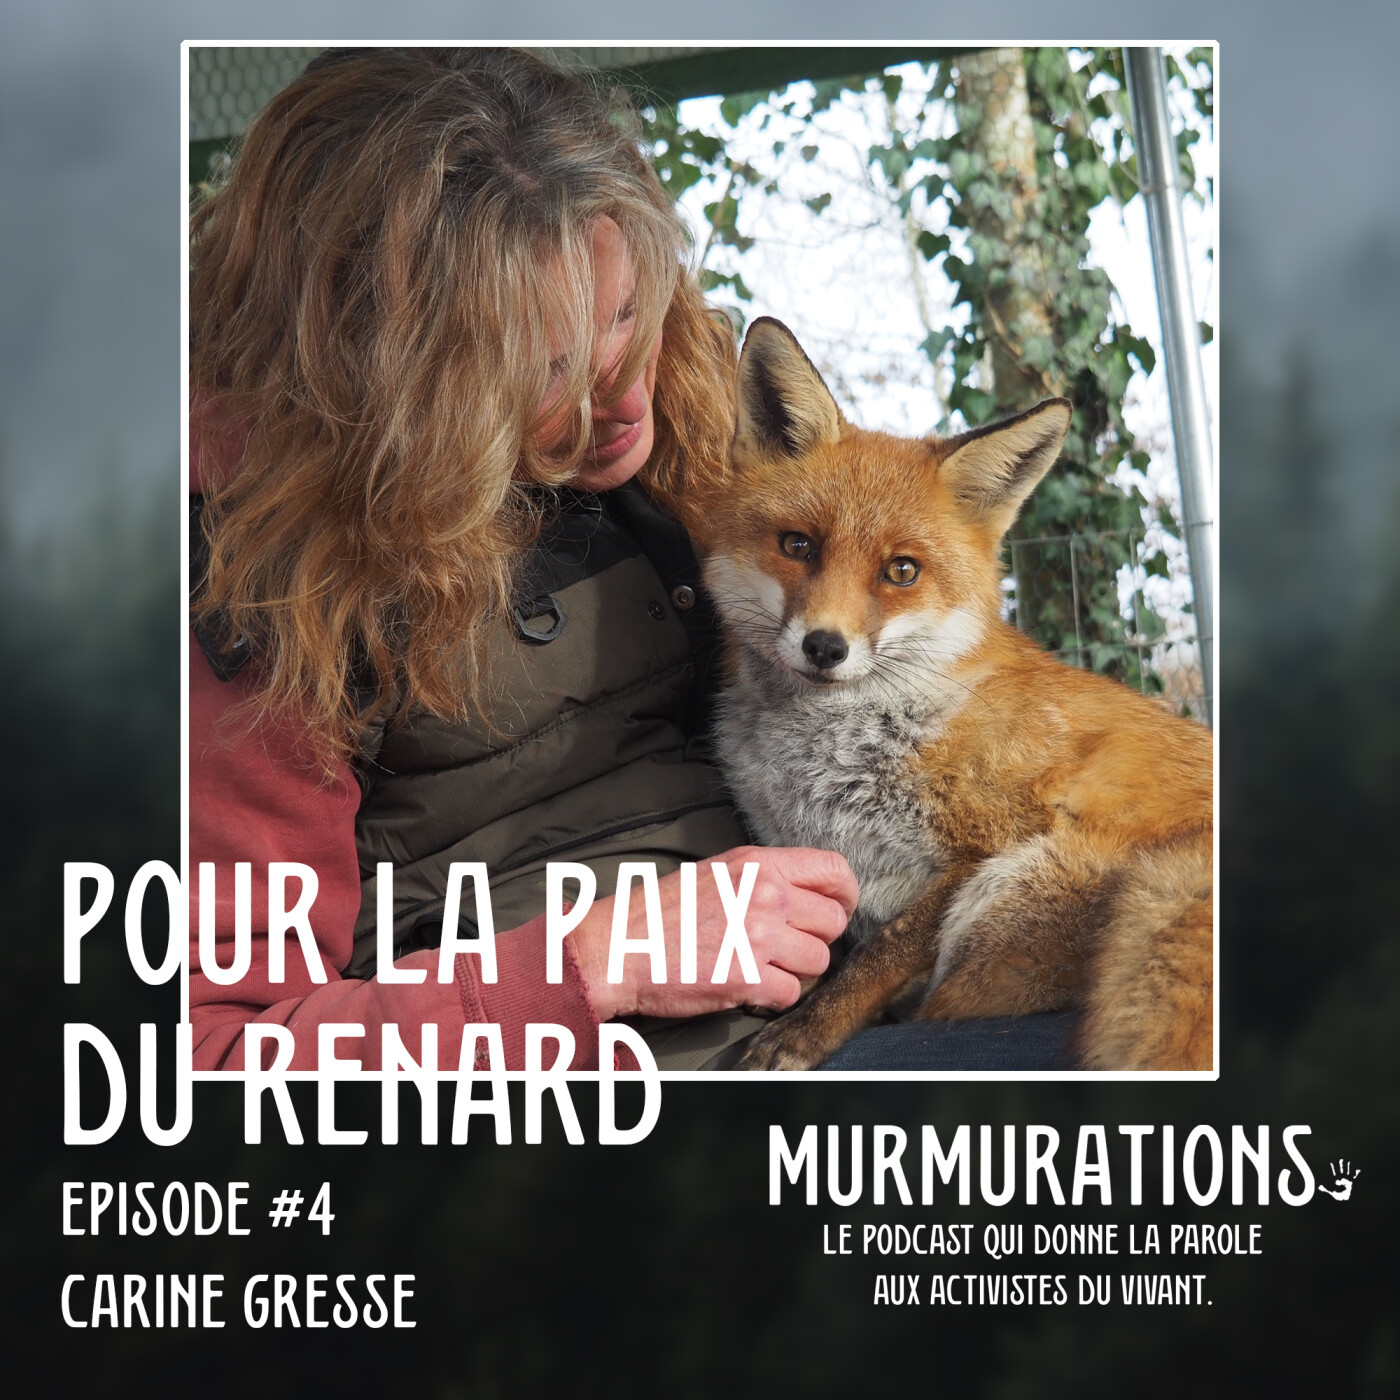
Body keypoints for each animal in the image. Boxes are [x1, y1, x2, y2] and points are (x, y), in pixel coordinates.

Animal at [702, 317, 1213, 1072]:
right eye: (798, 545)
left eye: (901, 571)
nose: (825, 647)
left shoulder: (985, 847)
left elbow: (880, 958)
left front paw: (802, 1035)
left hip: (1008, 893)